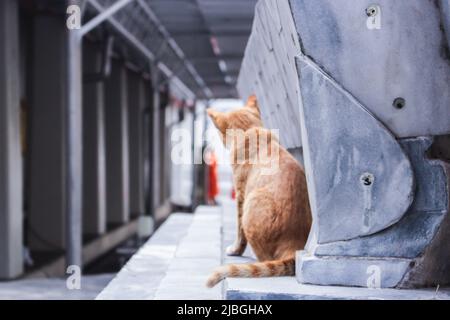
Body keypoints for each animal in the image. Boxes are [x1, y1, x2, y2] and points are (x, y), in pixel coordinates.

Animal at [206, 95, 312, 288]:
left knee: (264, 258)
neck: (250, 130)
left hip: (251, 200)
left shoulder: (240, 194)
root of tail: (294, 246)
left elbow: (239, 233)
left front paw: (235, 250)